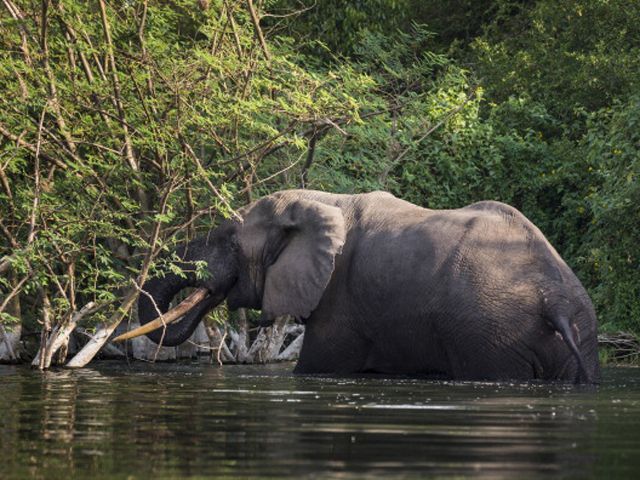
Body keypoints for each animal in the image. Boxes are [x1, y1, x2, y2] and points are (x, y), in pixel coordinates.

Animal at [124, 191, 600, 382]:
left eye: (228, 240)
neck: (319, 200)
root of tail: (555, 300)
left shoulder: (340, 301)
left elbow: (317, 367)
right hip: (577, 331)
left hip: (489, 332)